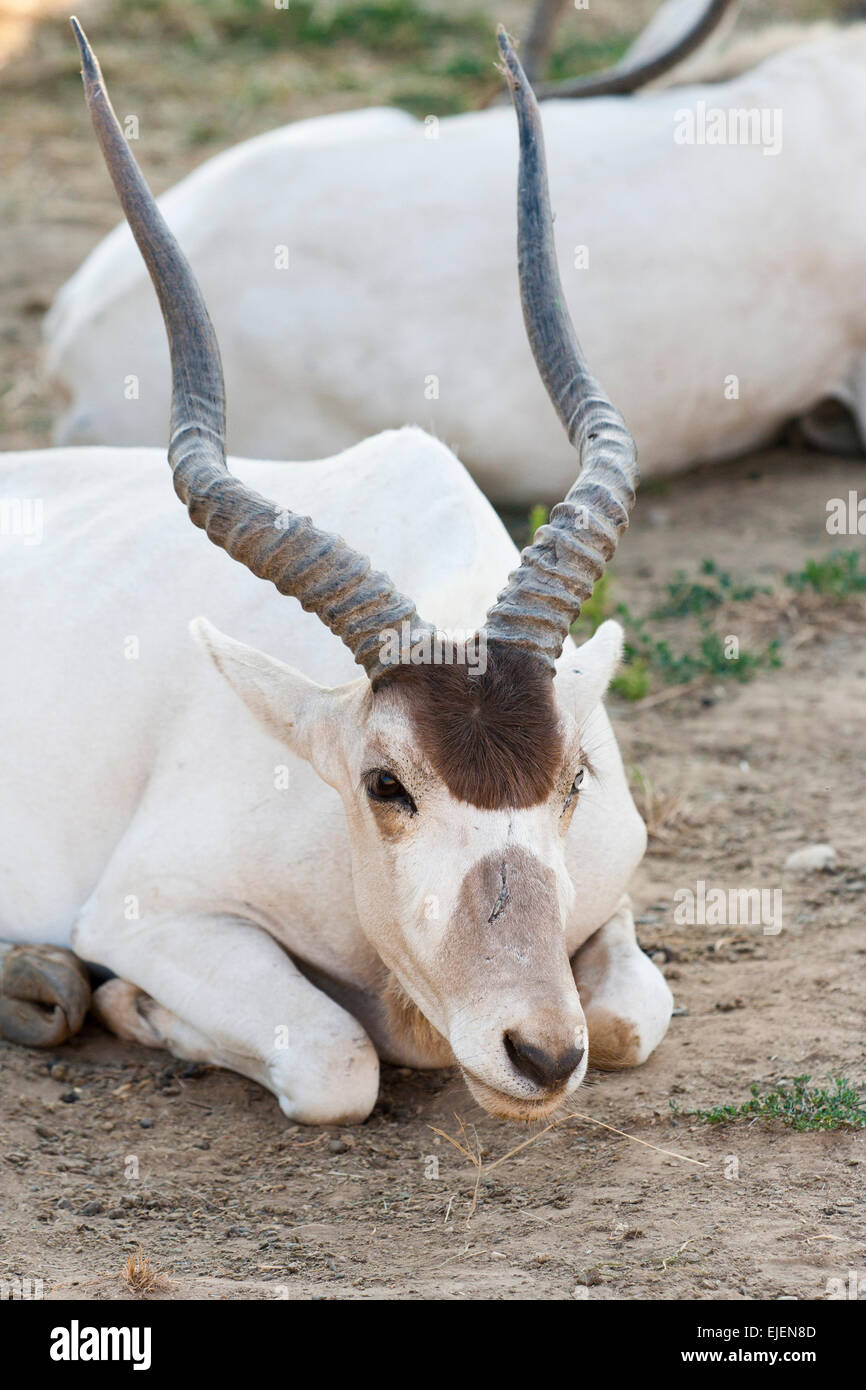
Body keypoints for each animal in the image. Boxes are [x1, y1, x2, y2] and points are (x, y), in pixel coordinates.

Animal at [0, 24, 675, 1128]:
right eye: (383, 783)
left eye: (574, 776)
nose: (537, 1051)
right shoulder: (153, 911)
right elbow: (335, 1063)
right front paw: (136, 1007)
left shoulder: (608, 898)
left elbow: (623, 1021)